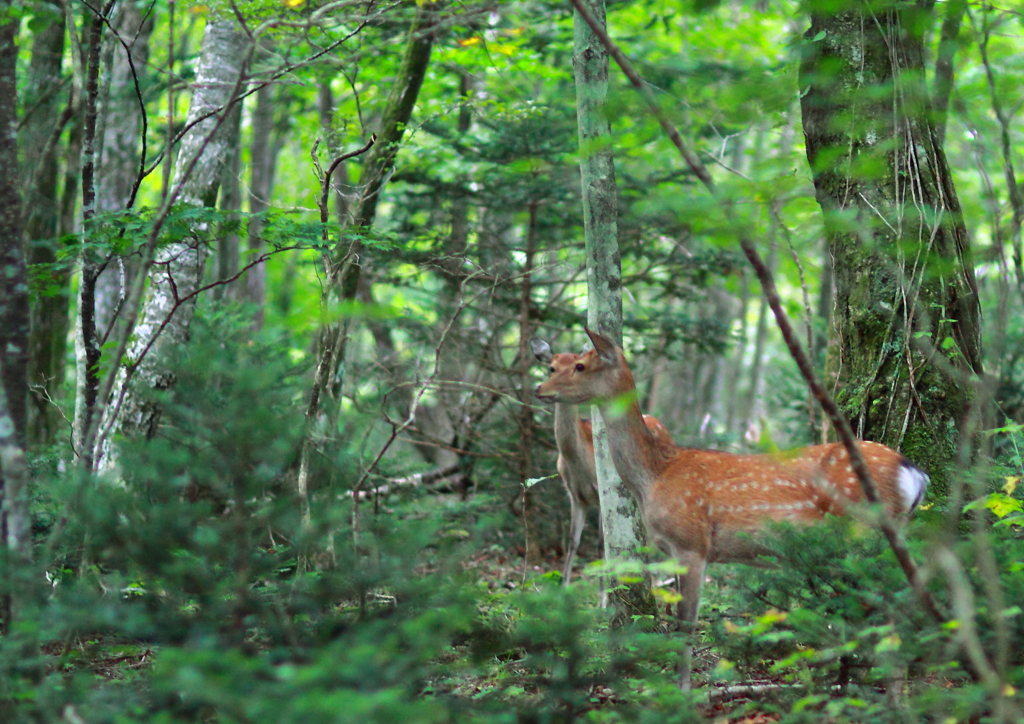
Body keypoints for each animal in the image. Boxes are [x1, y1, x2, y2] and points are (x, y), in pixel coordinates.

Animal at [532, 337, 675, 581]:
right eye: (551, 367)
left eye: (576, 366)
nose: (541, 389)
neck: (575, 461)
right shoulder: (574, 495)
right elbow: (572, 542)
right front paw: (563, 584)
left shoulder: (601, 490)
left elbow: (601, 546)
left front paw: (605, 590)